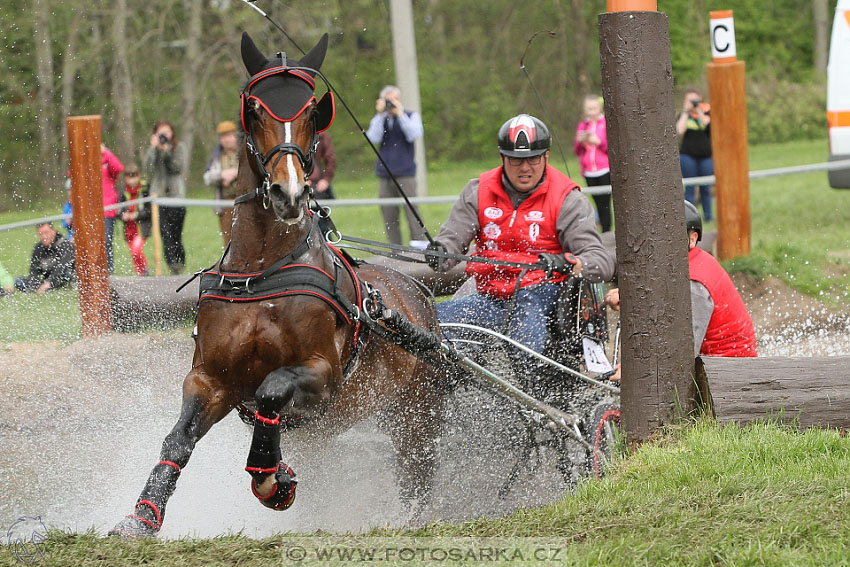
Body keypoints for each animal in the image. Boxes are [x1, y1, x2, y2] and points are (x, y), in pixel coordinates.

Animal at [112, 31, 444, 536]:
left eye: (312, 112)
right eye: (254, 108)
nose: (289, 193)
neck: (262, 272)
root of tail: (417, 293)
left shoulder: (324, 374)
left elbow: (272, 390)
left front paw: (271, 479)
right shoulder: (211, 378)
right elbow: (177, 439)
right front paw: (142, 516)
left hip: (418, 416)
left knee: (417, 471)